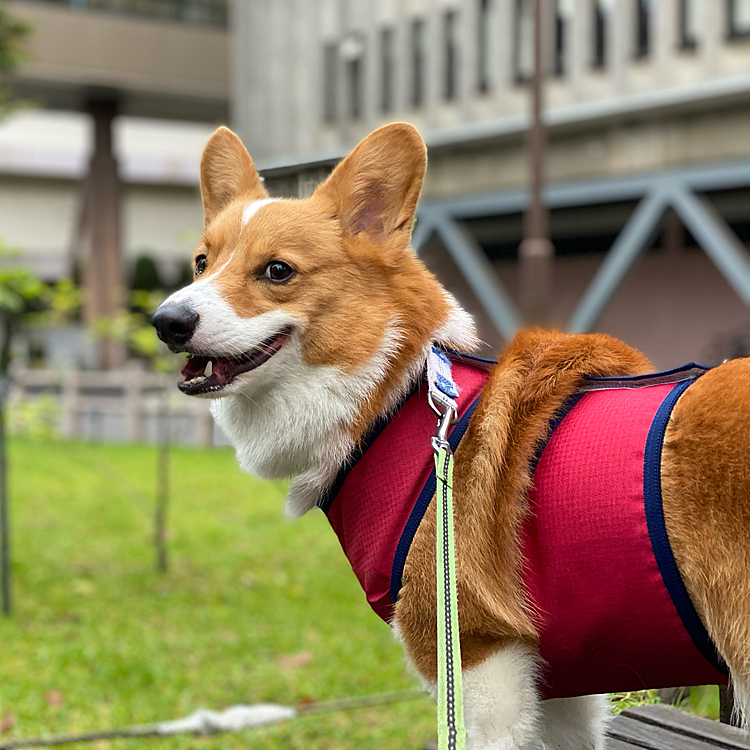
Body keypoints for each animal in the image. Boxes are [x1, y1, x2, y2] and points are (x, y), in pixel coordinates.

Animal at [154, 125, 750, 750]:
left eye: (277, 271)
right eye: (201, 263)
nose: (166, 322)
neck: (391, 400)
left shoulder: (476, 663)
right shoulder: (562, 685)